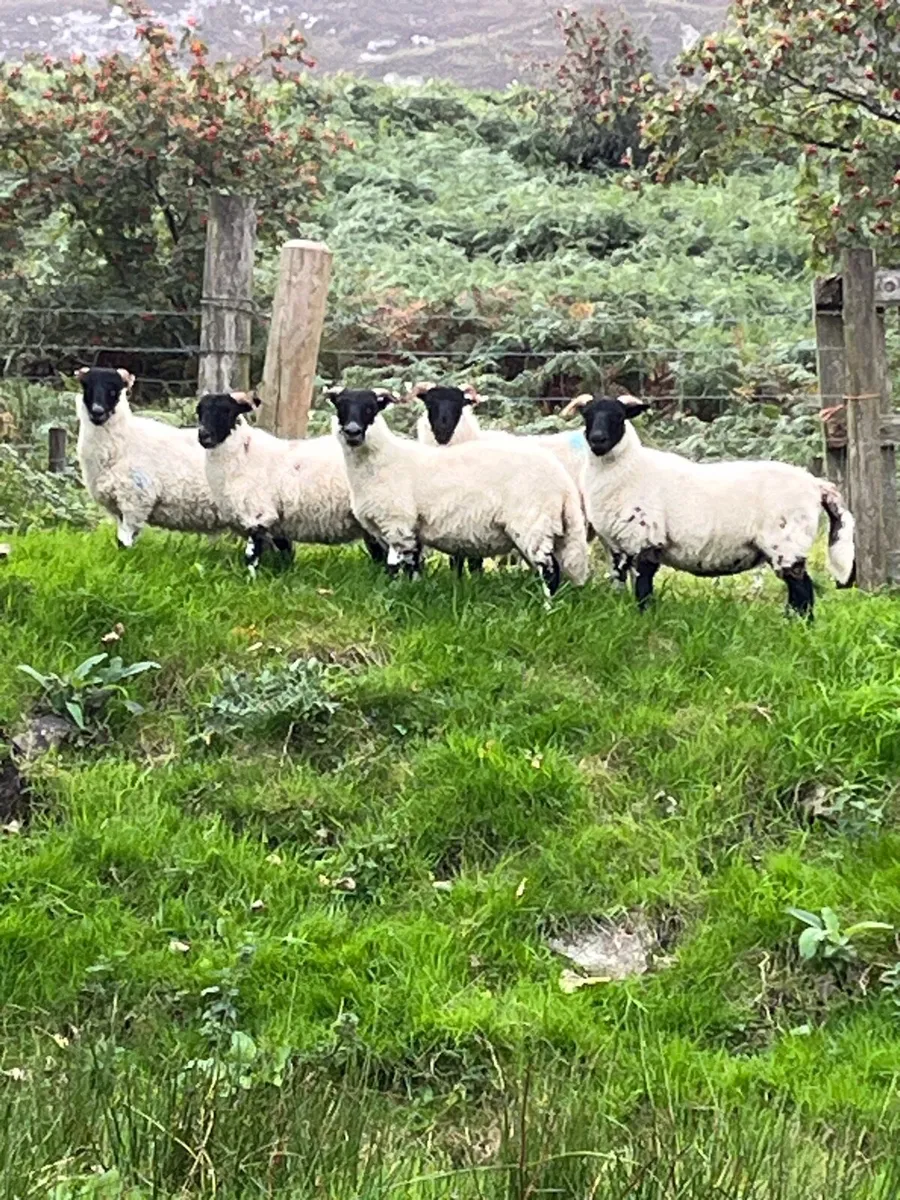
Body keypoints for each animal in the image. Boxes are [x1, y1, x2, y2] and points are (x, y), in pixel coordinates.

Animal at [75, 366, 221, 547]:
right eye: (87, 386)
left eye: (114, 390)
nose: (97, 412)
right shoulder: (120, 508)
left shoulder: (135, 499)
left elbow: (124, 542)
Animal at [196, 391, 386, 574]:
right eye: (199, 411)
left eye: (227, 410)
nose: (203, 435)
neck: (244, 453)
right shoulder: (278, 524)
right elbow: (285, 553)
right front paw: (284, 574)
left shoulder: (259, 514)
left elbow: (251, 554)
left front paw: (251, 579)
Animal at [328, 387, 589, 596]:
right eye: (341, 406)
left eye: (370, 407)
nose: (352, 431)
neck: (383, 460)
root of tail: (561, 479)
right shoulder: (401, 529)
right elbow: (402, 566)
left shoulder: (399, 523)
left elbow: (407, 565)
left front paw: (407, 592)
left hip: (533, 521)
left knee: (550, 570)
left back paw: (546, 608)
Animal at [561, 392, 855, 618]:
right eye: (587, 416)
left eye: (619, 416)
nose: (598, 439)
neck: (630, 471)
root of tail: (816, 484)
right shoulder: (620, 547)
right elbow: (623, 581)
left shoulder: (646, 539)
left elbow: (643, 587)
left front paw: (643, 617)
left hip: (786, 543)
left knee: (802, 590)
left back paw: (799, 625)